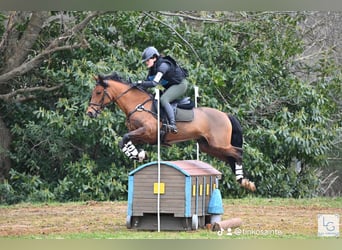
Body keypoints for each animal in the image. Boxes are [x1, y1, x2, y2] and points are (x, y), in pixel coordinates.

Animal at [87, 72, 255, 191]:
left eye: (98, 92)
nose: (89, 113)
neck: (138, 105)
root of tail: (225, 114)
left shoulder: (148, 131)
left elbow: (124, 138)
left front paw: (137, 154)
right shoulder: (142, 136)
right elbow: (125, 141)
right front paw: (138, 154)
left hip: (219, 144)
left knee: (238, 153)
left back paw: (243, 181)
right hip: (208, 146)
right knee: (230, 157)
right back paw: (244, 181)